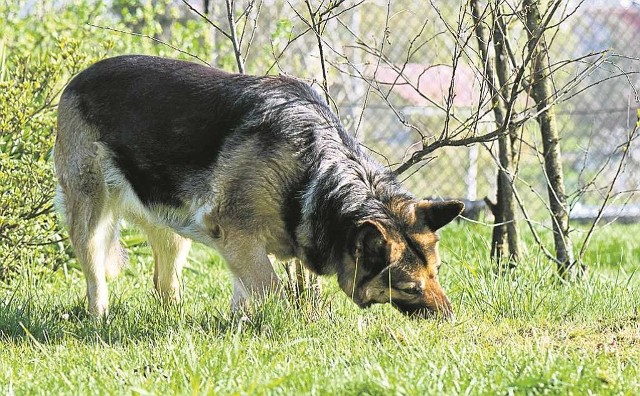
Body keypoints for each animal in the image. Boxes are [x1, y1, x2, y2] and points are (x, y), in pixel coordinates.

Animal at [55, 55, 462, 318]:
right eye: (409, 287)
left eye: (437, 272)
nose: (449, 318)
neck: (313, 169)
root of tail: (79, 77)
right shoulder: (238, 238)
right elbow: (271, 290)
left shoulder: (241, 246)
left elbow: (245, 293)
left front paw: (239, 329)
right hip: (91, 219)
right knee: (95, 276)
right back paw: (99, 320)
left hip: (171, 229)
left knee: (164, 283)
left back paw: (174, 323)